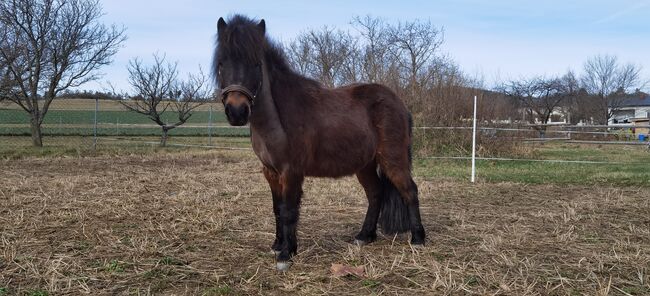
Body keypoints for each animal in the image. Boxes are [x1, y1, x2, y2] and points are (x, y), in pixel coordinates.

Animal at [213, 15, 426, 270]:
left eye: (255, 64)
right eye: (221, 64)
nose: (237, 111)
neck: (278, 118)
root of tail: (399, 103)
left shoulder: (291, 172)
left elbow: (289, 211)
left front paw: (286, 255)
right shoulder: (270, 172)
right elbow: (277, 209)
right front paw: (277, 246)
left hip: (392, 159)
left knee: (410, 190)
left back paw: (418, 239)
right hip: (365, 166)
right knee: (375, 194)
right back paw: (364, 236)